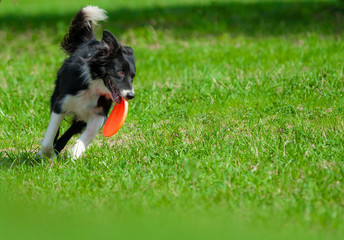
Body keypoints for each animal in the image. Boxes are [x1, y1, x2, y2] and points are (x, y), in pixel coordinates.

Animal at [39, 5, 136, 159]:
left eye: (132, 77)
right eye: (120, 72)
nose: (130, 95)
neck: (94, 87)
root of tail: (91, 41)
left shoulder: (99, 112)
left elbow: (90, 132)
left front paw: (76, 151)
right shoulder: (62, 103)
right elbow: (51, 133)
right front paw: (46, 153)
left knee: (73, 129)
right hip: (56, 94)